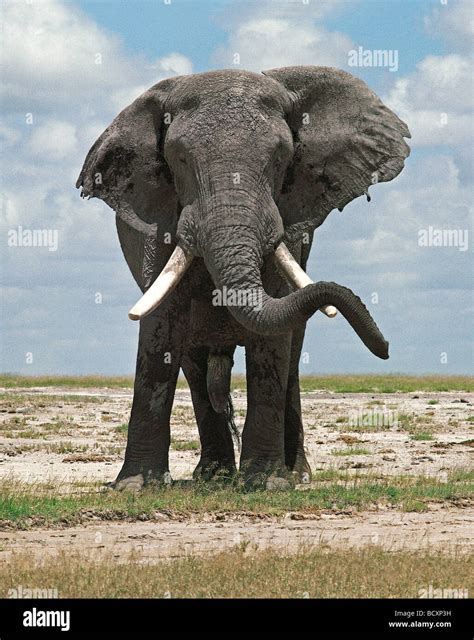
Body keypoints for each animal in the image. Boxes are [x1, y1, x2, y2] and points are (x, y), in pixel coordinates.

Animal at [76, 66, 410, 490]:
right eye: (180, 158)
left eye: (281, 158)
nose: (385, 348)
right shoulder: (159, 221)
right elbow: (160, 326)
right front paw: (136, 487)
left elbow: (273, 341)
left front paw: (265, 482)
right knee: (195, 364)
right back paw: (213, 475)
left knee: (292, 355)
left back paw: (294, 474)